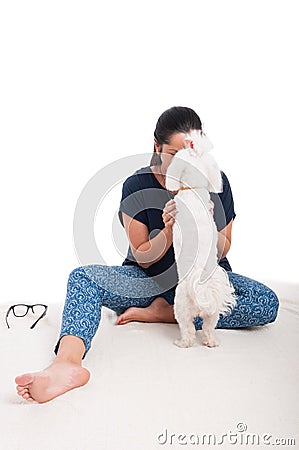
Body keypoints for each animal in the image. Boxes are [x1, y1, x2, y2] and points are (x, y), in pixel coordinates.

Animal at [166, 130, 237, 348]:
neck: (194, 189)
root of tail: (201, 288)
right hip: (213, 314)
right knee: (208, 327)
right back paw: (211, 341)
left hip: (179, 306)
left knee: (188, 330)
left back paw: (182, 342)